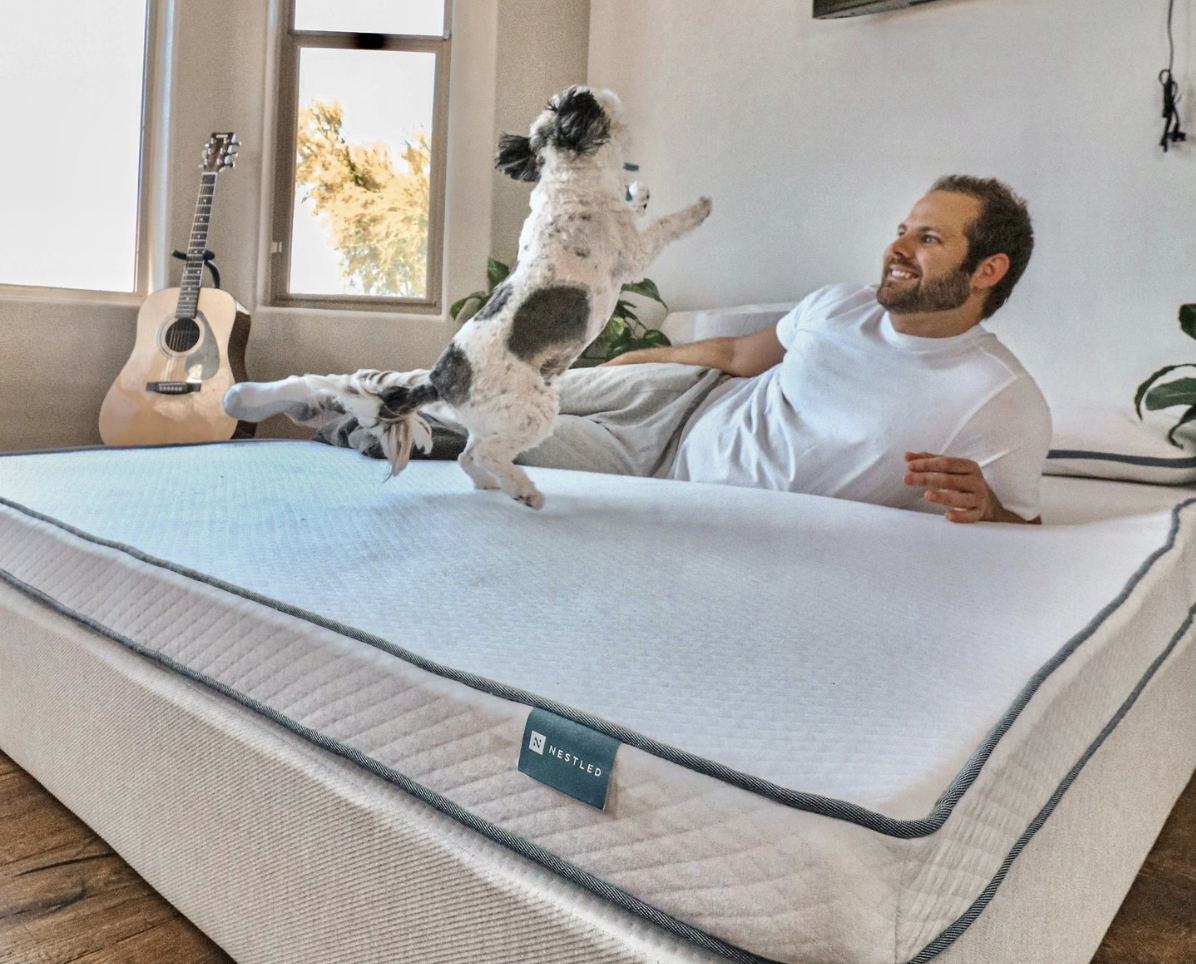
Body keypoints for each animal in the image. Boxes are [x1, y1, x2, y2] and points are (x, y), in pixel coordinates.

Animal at [224, 86, 708, 509]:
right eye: (584, 98)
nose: (600, 92)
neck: (570, 182)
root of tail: (438, 381)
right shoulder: (633, 256)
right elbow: (667, 226)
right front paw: (698, 208)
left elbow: (639, 206)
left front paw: (640, 192)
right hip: (536, 411)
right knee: (486, 454)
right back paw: (523, 491)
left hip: (497, 420)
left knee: (467, 454)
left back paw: (491, 484)